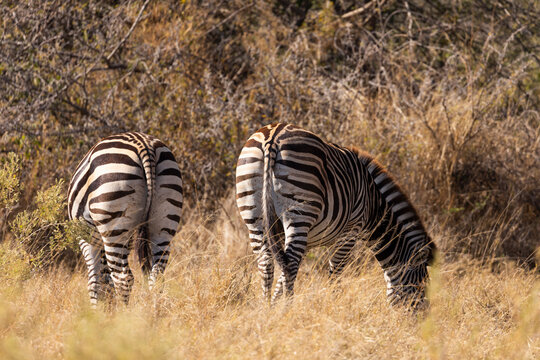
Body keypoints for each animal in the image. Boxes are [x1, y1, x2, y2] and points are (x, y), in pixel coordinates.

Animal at [68, 131, 182, 306]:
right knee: (156, 276)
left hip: (114, 223)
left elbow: (95, 282)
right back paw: (154, 312)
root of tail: (144, 145)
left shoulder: (86, 239)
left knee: (123, 278)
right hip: (164, 223)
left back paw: (124, 313)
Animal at [235, 123, 434, 306]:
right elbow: (335, 272)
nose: (422, 319)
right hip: (299, 213)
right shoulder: (351, 231)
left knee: (266, 263)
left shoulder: (306, 240)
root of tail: (272, 136)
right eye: (421, 287)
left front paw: (274, 305)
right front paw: (332, 302)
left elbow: (282, 277)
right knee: (289, 264)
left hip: (254, 214)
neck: (372, 204)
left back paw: (264, 308)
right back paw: (288, 308)